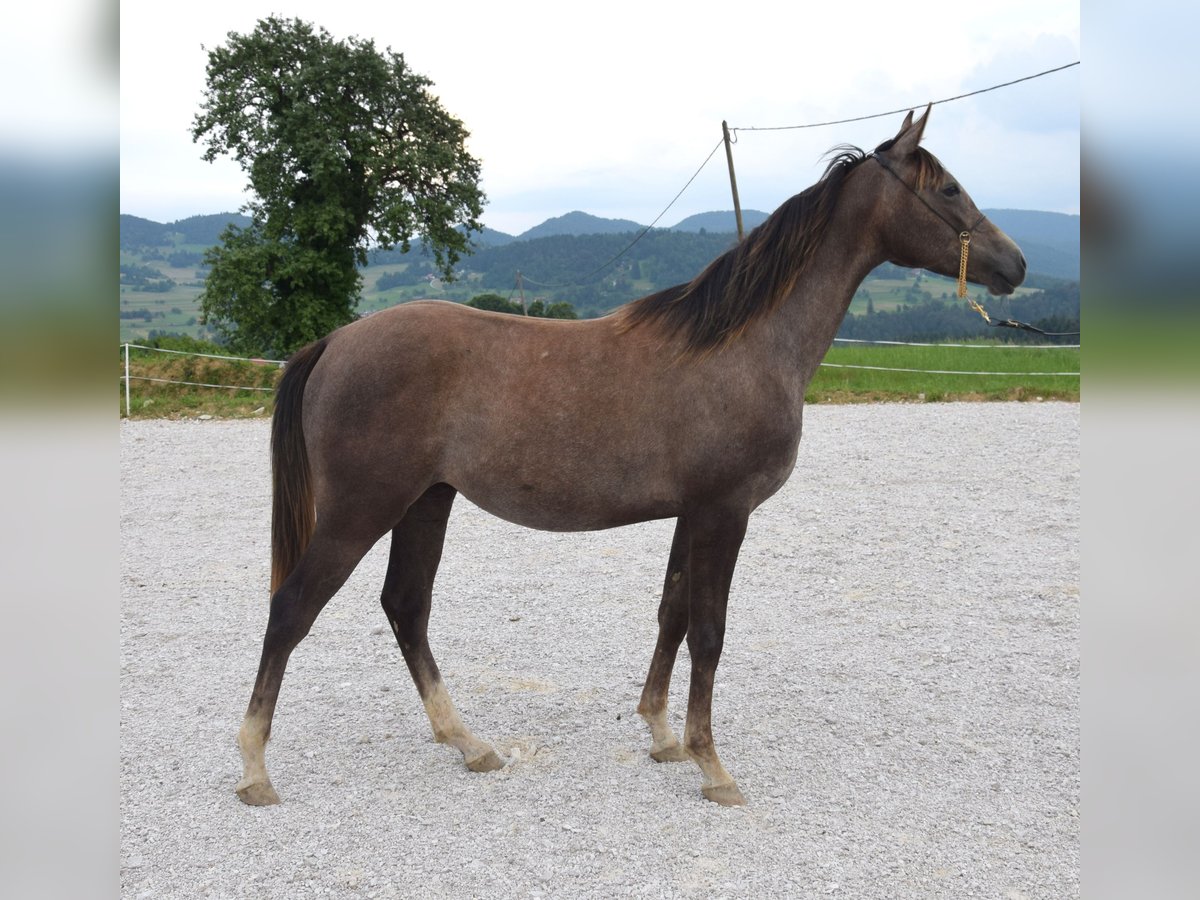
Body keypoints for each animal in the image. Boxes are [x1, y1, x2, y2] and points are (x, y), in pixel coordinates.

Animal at [236, 107, 1032, 811]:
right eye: (948, 188)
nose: (1015, 263)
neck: (744, 345)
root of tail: (335, 342)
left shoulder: (692, 513)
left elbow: (671, 613)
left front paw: (661, 735)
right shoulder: (724, 511)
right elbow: (709, 632)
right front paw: (713, 768)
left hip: (426, 501)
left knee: (406, 607)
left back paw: (470, 744)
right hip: (362, 510)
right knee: (292, 610)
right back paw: (254, 770)